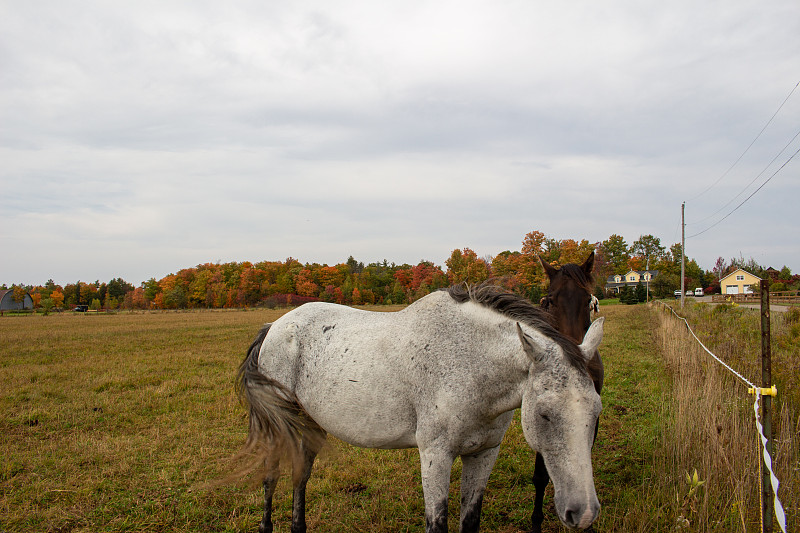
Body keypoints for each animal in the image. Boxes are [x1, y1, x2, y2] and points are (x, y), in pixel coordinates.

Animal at [234, 282, 604, 528]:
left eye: (595, 414)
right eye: (544, 414)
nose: (583, 512)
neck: (469, 362)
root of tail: (275, 326)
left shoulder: (484, 454)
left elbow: (470, 520)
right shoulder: (435, 455)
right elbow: (436, 523)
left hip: (311, 424)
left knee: (301, 474)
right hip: (279, 425)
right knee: (271, 476)